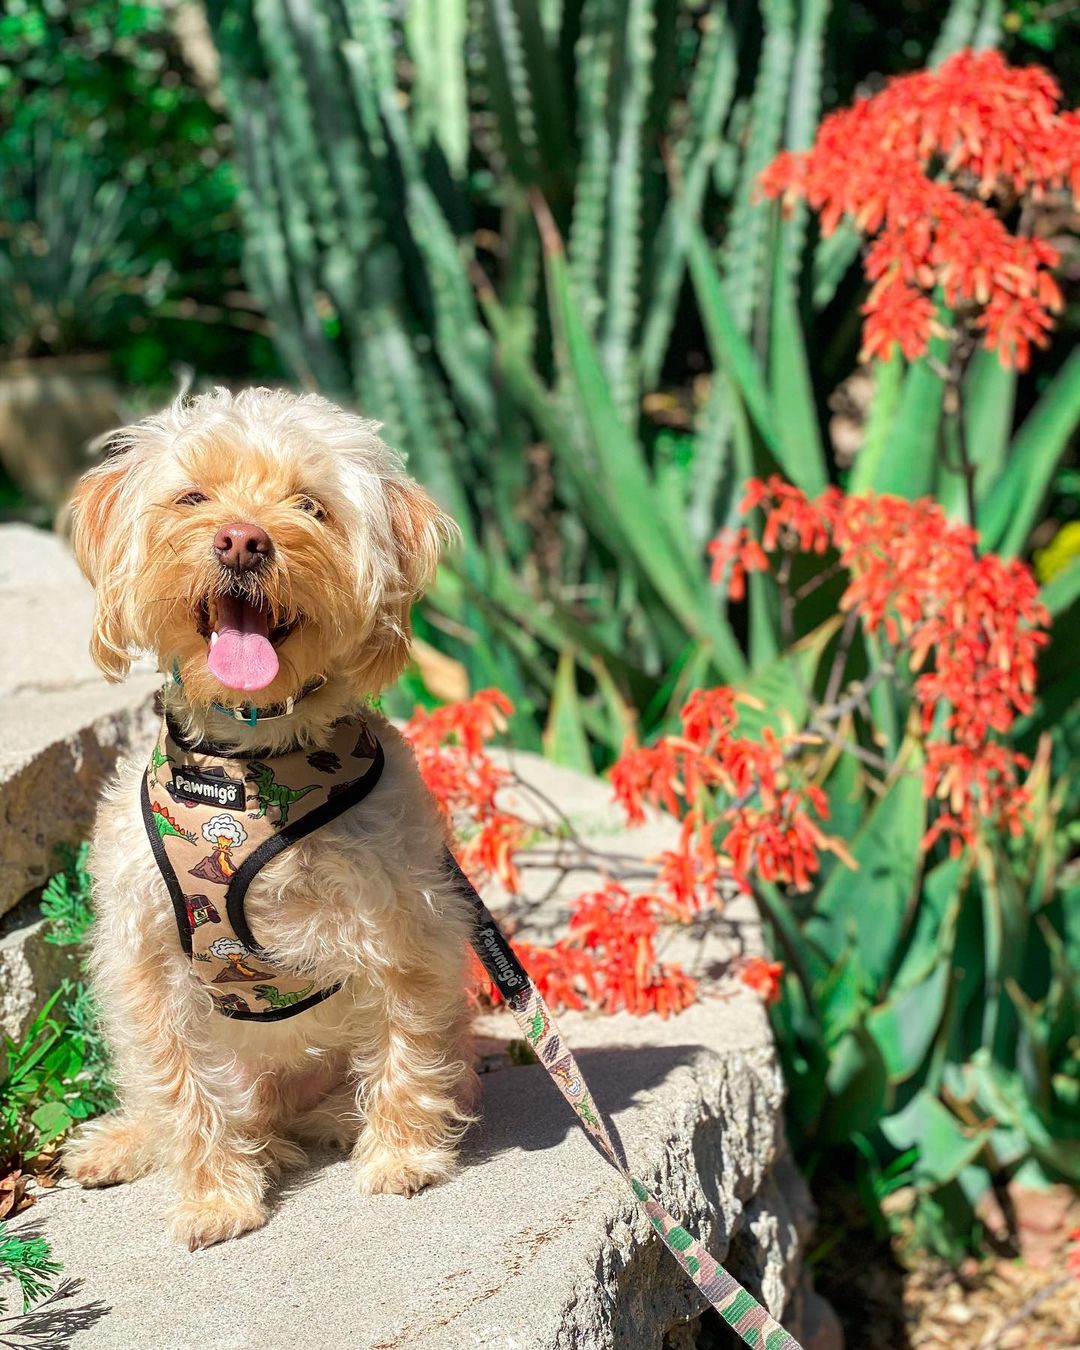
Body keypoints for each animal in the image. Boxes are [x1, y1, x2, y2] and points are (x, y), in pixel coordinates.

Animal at [62, 386, 477, 1247]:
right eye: (193, 498)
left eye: (310, 506)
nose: (243, 540)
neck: (249, 771)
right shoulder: (145, 961)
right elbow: (181, 1086)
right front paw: (215, 1198)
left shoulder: (404, 922)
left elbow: (408, 1041)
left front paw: (403, 1155)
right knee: (165, 1095)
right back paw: (127, 1141)